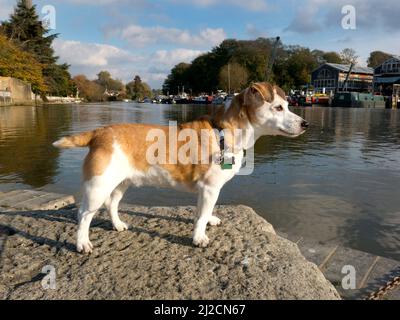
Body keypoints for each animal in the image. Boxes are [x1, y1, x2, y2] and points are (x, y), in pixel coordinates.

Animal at [54, 83, 310, 255]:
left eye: (288, 105)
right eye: (278, 108)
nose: (305, 123)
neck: (224, 132)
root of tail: (100, 132)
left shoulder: (207, 191)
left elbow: (203, 212)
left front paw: (206, 223)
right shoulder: (210, 188)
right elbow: (202, 214)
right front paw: (199, 238)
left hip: (119, 183)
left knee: (112, 204)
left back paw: (117, 225)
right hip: (98, 186)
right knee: (83, 215)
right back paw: (82, 243)